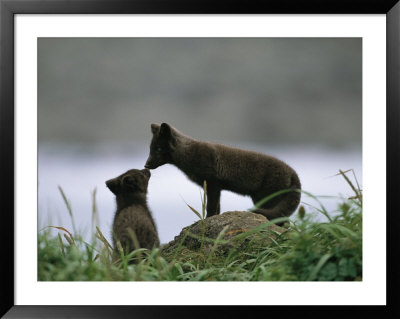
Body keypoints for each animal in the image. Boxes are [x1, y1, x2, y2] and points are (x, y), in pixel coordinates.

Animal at [145, 123, 302, 222]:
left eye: (158, 148)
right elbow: (217, 208)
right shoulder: (216, 188)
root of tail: (293, 172)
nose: (146, 165)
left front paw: (206, 220)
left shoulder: (212, 183)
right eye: (150, 148)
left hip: (266, 198)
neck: (189, 155)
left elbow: (211, 207)